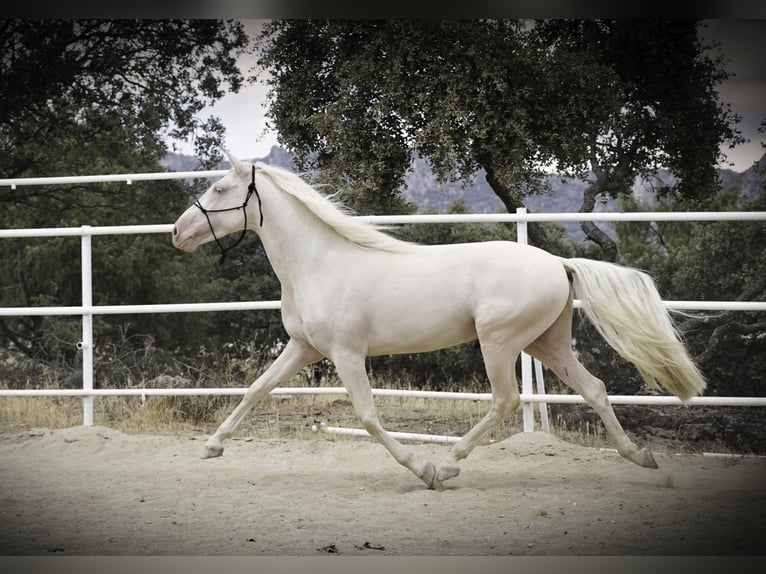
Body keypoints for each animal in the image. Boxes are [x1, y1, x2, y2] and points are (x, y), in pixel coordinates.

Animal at [172, 153, 706, 490]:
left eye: (219, 187)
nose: (178, 231)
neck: (320, 263)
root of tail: (558, 263)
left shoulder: (346, 354)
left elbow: (368, 417)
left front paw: (421, 469)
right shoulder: (304, 348)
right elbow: (256, 390)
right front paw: (211, 447)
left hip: (500, 343)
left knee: (507, 400)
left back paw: (448, 465)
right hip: (545, 344)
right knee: (594, 388)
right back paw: (641, 457)